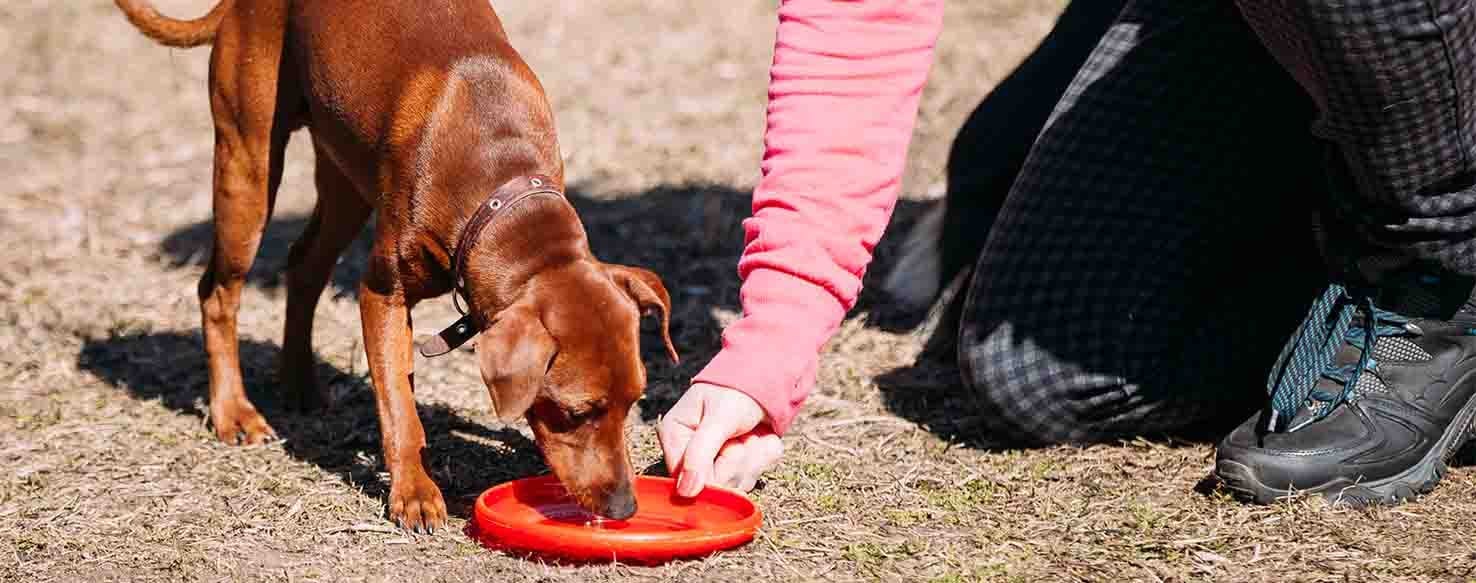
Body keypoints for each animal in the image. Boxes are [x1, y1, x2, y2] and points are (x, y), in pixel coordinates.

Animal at [115, 0, 678, 531]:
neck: (498, 178)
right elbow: (399, 409)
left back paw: (299, 382)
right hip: (246, 171)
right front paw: (414, 494)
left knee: (305, 264)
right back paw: (233, 413)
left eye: (636, 400)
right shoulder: (382, 294)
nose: (625, 507)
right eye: (577, 411)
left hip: (344, 179)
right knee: (218, 291)